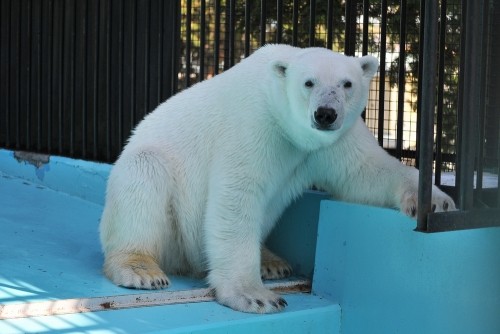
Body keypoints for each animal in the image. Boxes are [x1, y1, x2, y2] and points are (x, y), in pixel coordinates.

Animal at [99, 43, 456, 314]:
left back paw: (272, 260)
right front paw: (255, 296)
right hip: (164, 212)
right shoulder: (254, 124)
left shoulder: (333, 140)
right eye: (309, 83)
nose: (325, 114)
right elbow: (236, 197)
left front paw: (435, 201)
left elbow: (364, 170)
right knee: (145, 176)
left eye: (347, 84)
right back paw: (141, 269)